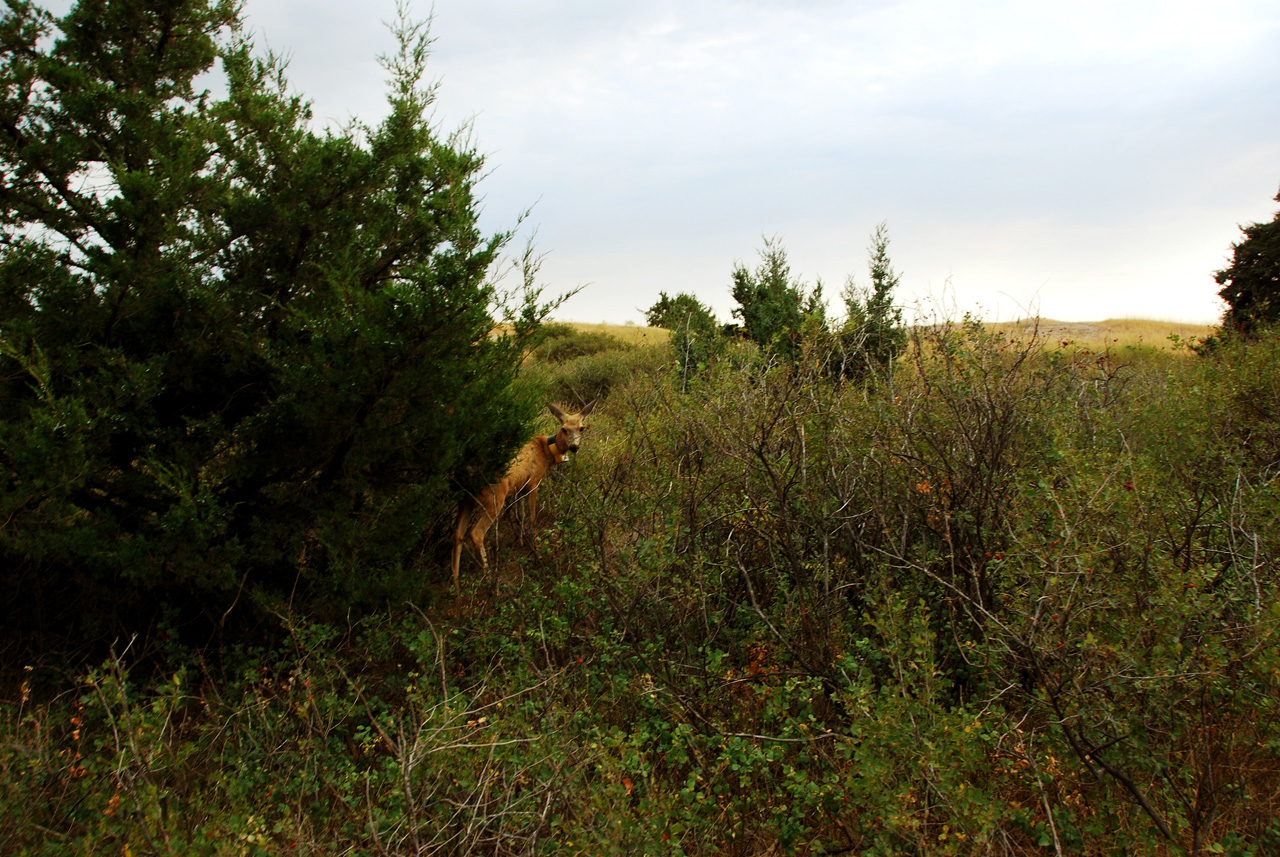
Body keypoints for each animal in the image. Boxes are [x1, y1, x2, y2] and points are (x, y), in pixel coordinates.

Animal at [450, 404, 593, 583]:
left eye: (581, 428)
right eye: (564, 429)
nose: (574, 447)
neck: (545, 451)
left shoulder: (519, 488)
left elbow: (520, 515)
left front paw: (520, 542)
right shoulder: (533, 482)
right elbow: (532, 517)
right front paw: (536, 550)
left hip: (465, 499)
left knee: (458, 534)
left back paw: (456, 583)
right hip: (495, 496)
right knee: (476, 534)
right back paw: (489, 576)